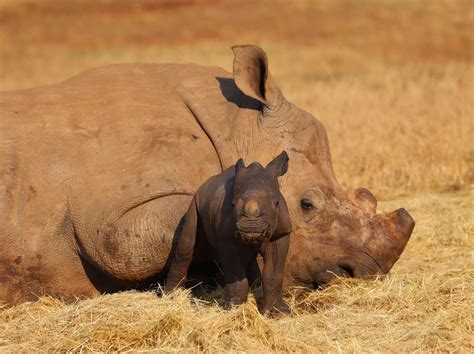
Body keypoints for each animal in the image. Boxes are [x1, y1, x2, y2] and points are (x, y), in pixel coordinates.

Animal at [167, 151, 292, 314]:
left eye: (276, 203)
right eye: (232, 204)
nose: (251, 227)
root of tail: (205, 184)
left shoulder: (281, 233)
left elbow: (274, 273)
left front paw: (279, 312)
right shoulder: (226, 238)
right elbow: (234, 273)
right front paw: (233, 309)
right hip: (195, 201)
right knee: (186, 246)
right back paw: (170, 299)